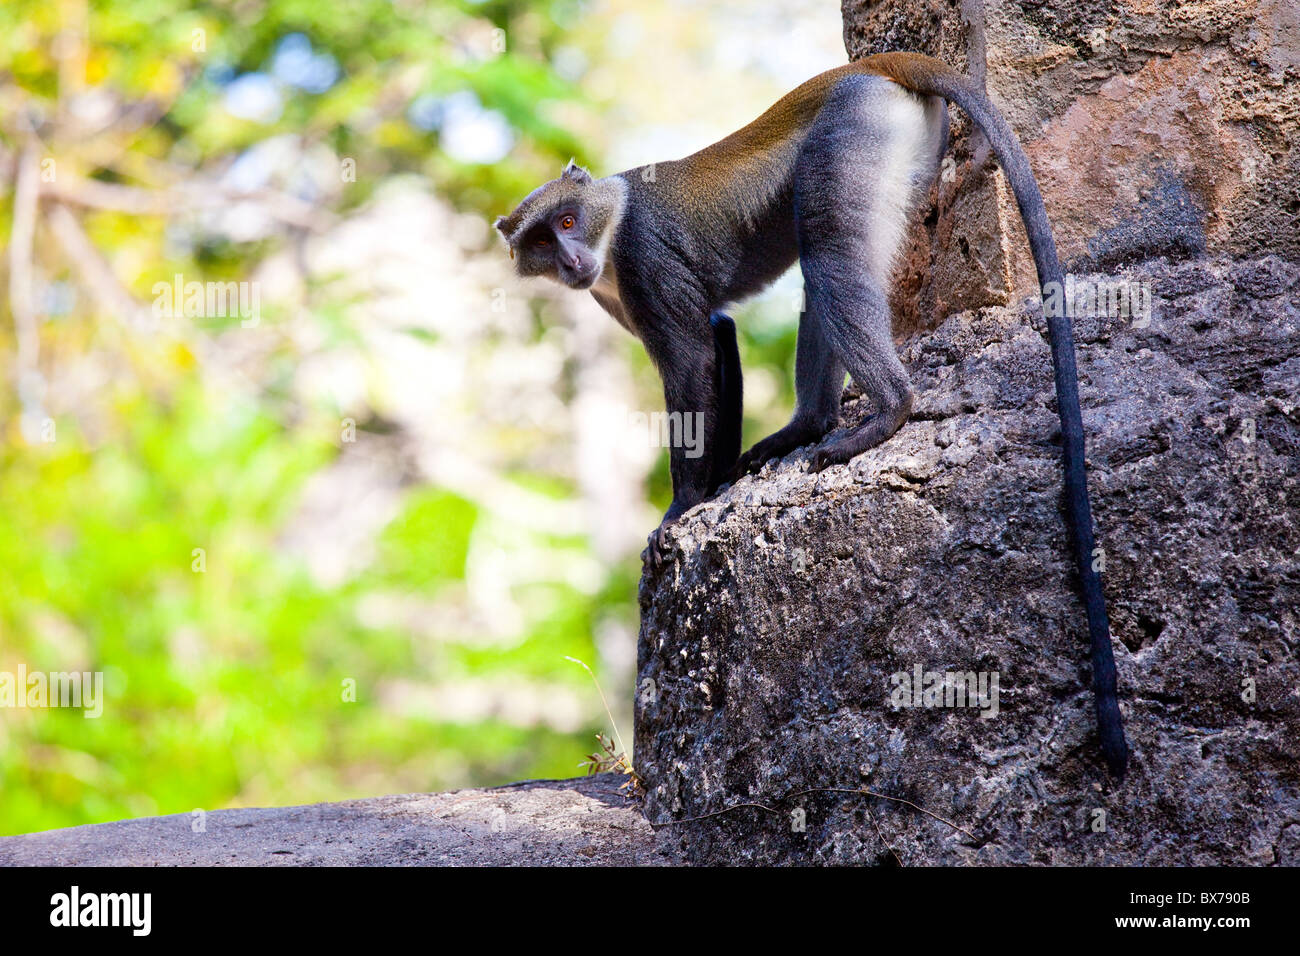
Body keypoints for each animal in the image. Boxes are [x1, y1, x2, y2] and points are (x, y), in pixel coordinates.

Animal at [495, 52, 1128, 778]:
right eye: (541, 239)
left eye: (569, 222)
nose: (570, 260)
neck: (612, 220)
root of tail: (879, 66)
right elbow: (719, 337)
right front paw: (712, 491)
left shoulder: (644, 259)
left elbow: (692, 361)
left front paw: (681, 510)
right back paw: (809, 424)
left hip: (853, 134)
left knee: (827, 256)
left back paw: (888, 410)